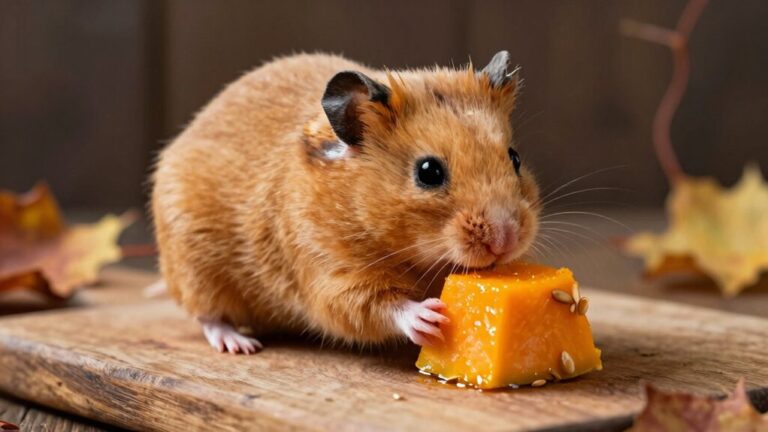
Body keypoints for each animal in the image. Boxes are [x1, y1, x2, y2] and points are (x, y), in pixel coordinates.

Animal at [151, 51, 540, 354]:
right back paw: (239, 344)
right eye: (428, 172)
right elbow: (376, 306)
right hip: (195, 267)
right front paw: (429, 316)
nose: (506, 241)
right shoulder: (330, 272)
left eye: (515, 157)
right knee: (207, 315)